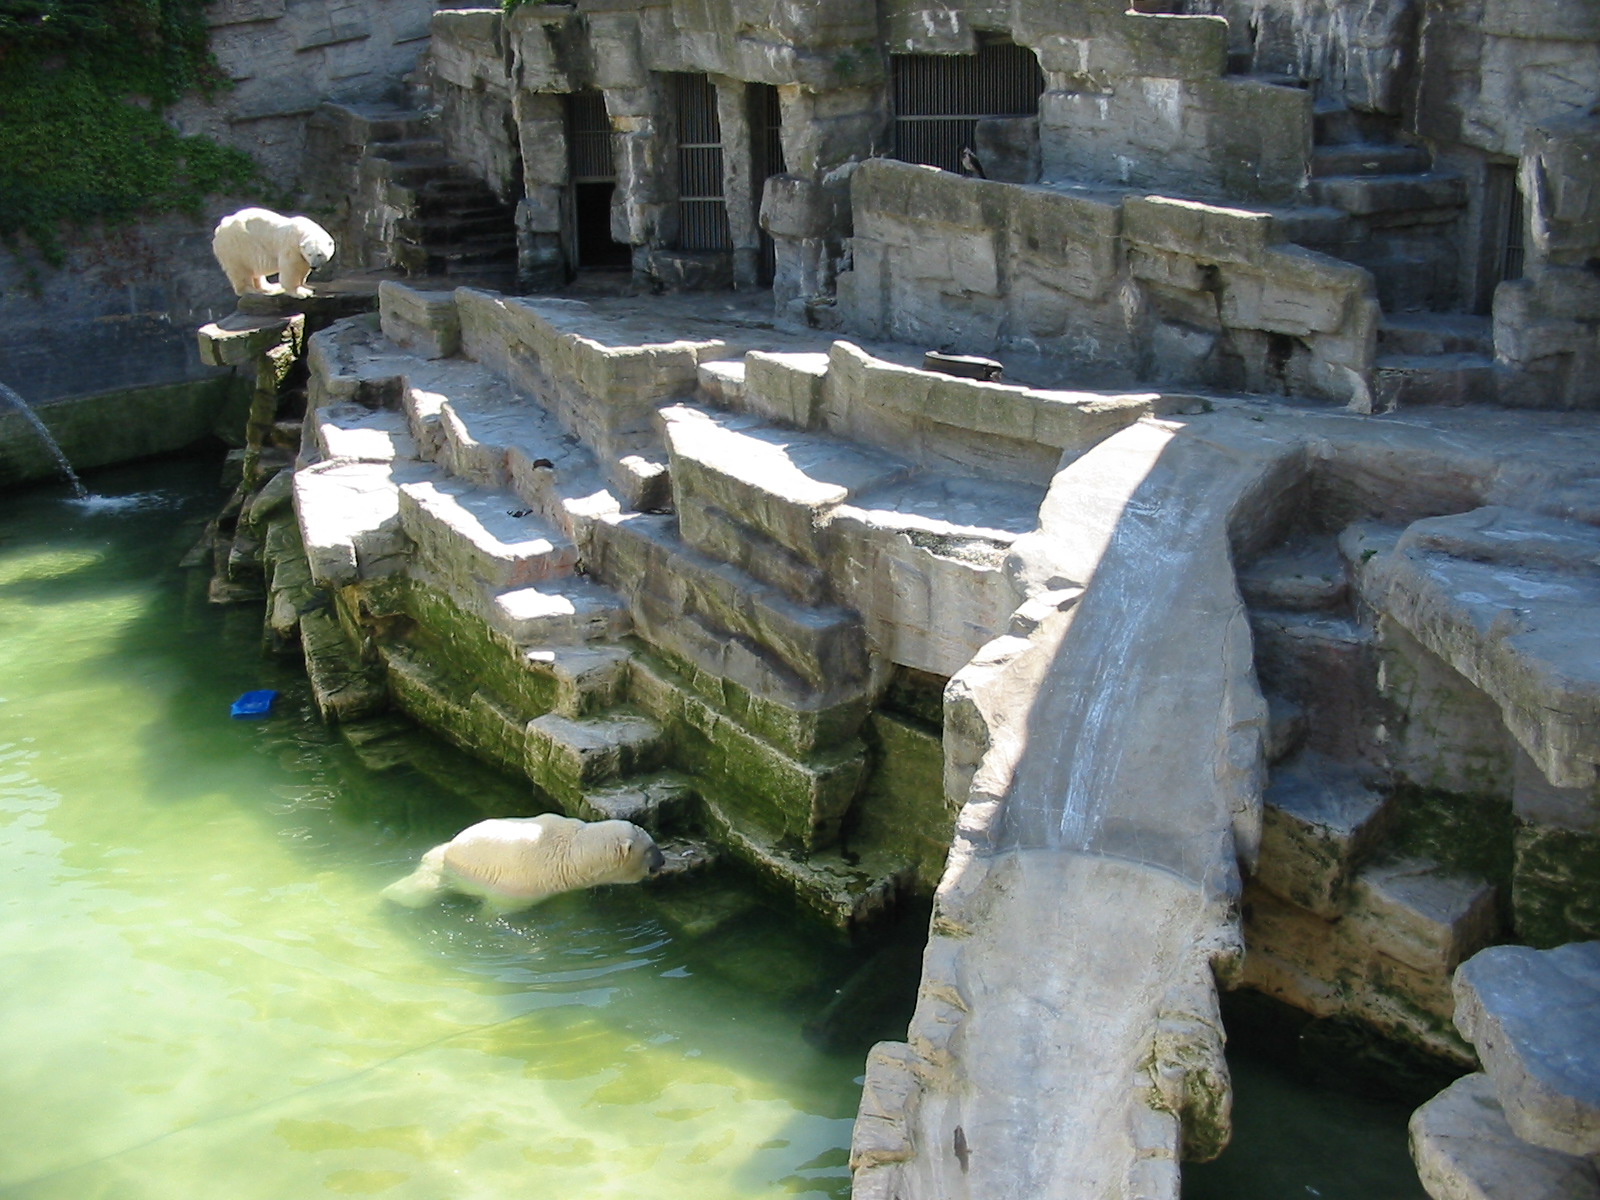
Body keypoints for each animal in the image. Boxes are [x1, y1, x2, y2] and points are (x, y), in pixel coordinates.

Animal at [381, 813, 666, 915]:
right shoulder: (522, 886)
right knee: (417, 892)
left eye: (654, 842)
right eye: (650, 850)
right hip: (450, 872)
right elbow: (499, 909)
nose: (663, 861)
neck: (571, 850)